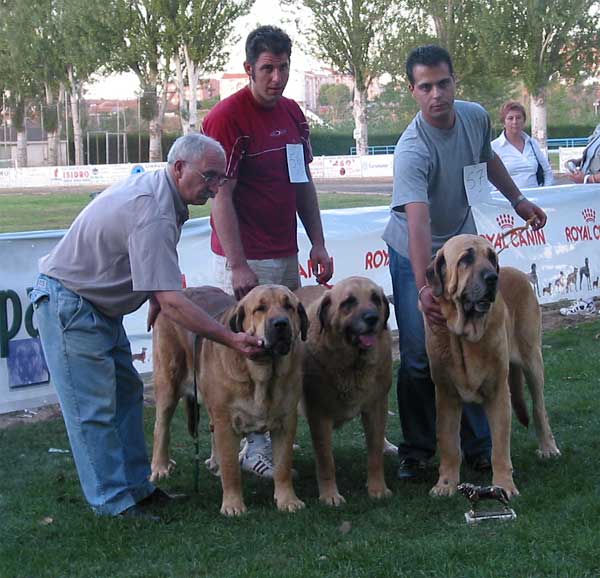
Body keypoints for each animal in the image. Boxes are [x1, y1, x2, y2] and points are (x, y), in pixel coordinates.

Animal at [150, 284, 310, 512]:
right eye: (260, 309)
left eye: (289, 306)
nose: (281, 323)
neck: (263, 375)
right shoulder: (227, 422)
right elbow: (231, 468)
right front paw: (233, 506)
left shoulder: (286, 423)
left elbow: (283, 466)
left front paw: (288, 500)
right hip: (168, 383)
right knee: (161, 426)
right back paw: (160, 467)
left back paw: (213, 463)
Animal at [296, 274, 394, 504]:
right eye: (349, 302)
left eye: (376, 299)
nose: (372, 318)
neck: (353, 365)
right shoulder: (319, 414)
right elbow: (325, 461)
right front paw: (330, 495)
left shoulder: (376, 406)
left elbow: (375, 453)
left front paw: (377, 489)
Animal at [424, 234, 560, 500]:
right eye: (465, 259)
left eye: (491, 258)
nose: (492, 278)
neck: (464, 336)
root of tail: (520, 273)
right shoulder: (446, 396)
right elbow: (448, 443)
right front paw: (446, 484)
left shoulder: (498, 394)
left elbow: (499, 447)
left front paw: (503, 485)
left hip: (532, 359)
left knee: (539, 408)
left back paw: (548, 447)